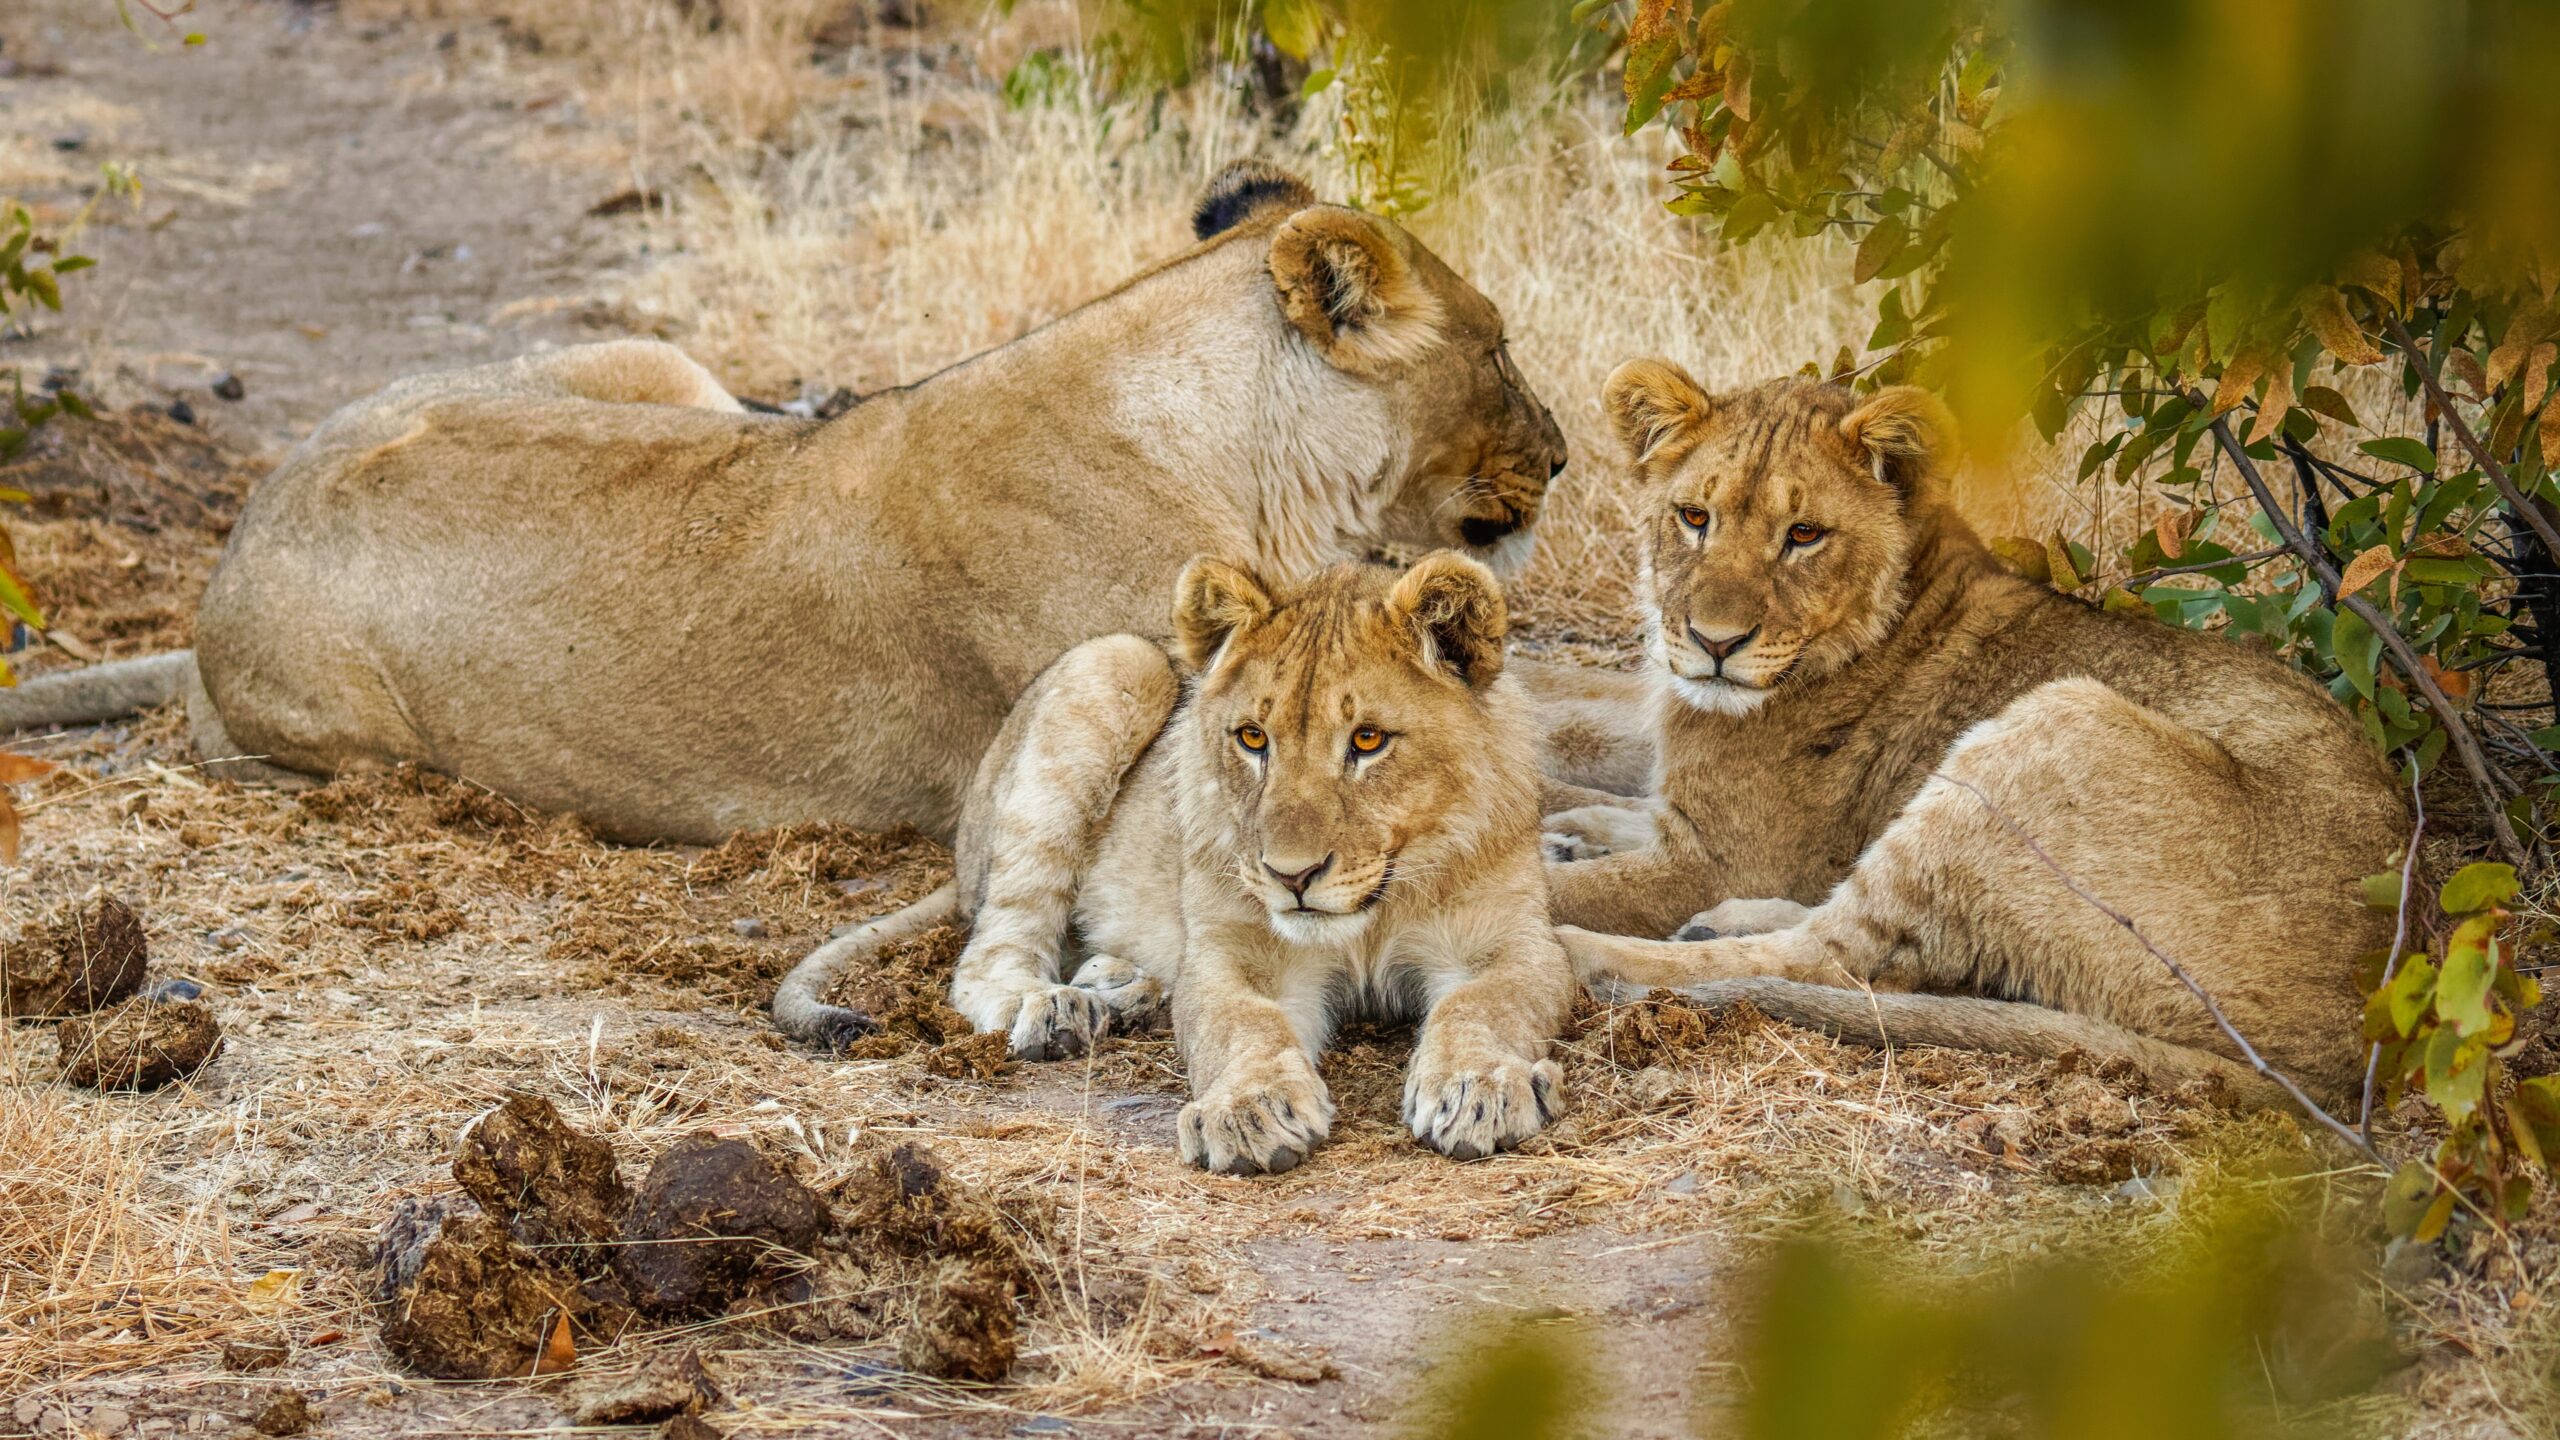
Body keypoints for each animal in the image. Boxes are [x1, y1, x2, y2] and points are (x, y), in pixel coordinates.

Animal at [774, 553, 1575, 1173]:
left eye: (1369, 740)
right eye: (1252, 738)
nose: (1290, 876)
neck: (1371, 919)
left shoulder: (1518, 942)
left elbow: (1484, 1004)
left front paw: (1478, 1090)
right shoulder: (1232, 953)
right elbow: (1241, 1025)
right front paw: (1249, 1111)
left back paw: (1117, 988)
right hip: (1116, 664)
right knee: (991, 952)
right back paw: (1056, 1009)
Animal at [1543, 364, 2409, 1104]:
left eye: (1804, 535)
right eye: (1694, 517)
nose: (1714, 642)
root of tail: (2354, 1041)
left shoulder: (1724, 857)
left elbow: (1578, 880)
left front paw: (1557, 878)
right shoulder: (1683, 818)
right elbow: (1601, 802)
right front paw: (1569, 829)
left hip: (2055, 724)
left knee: (1832, 958)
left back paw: (1588, 952)